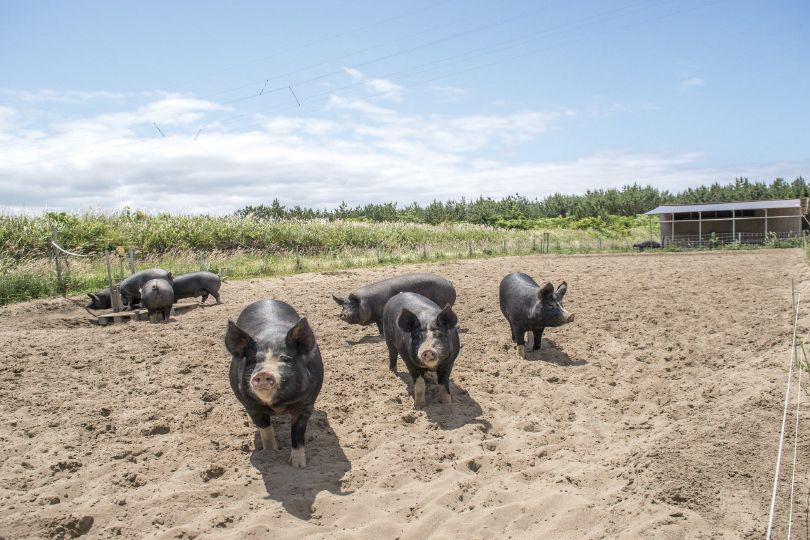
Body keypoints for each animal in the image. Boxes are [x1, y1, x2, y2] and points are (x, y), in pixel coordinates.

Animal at [224, 300, 322, 468]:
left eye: (285, 358)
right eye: (254, 361)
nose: (263, 373)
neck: (277, 405)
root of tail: (266, 299)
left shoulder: (306, 404)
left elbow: (297, 433)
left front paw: (298, 466)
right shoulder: (250, 406)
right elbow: (265, 429)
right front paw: (270, 453)